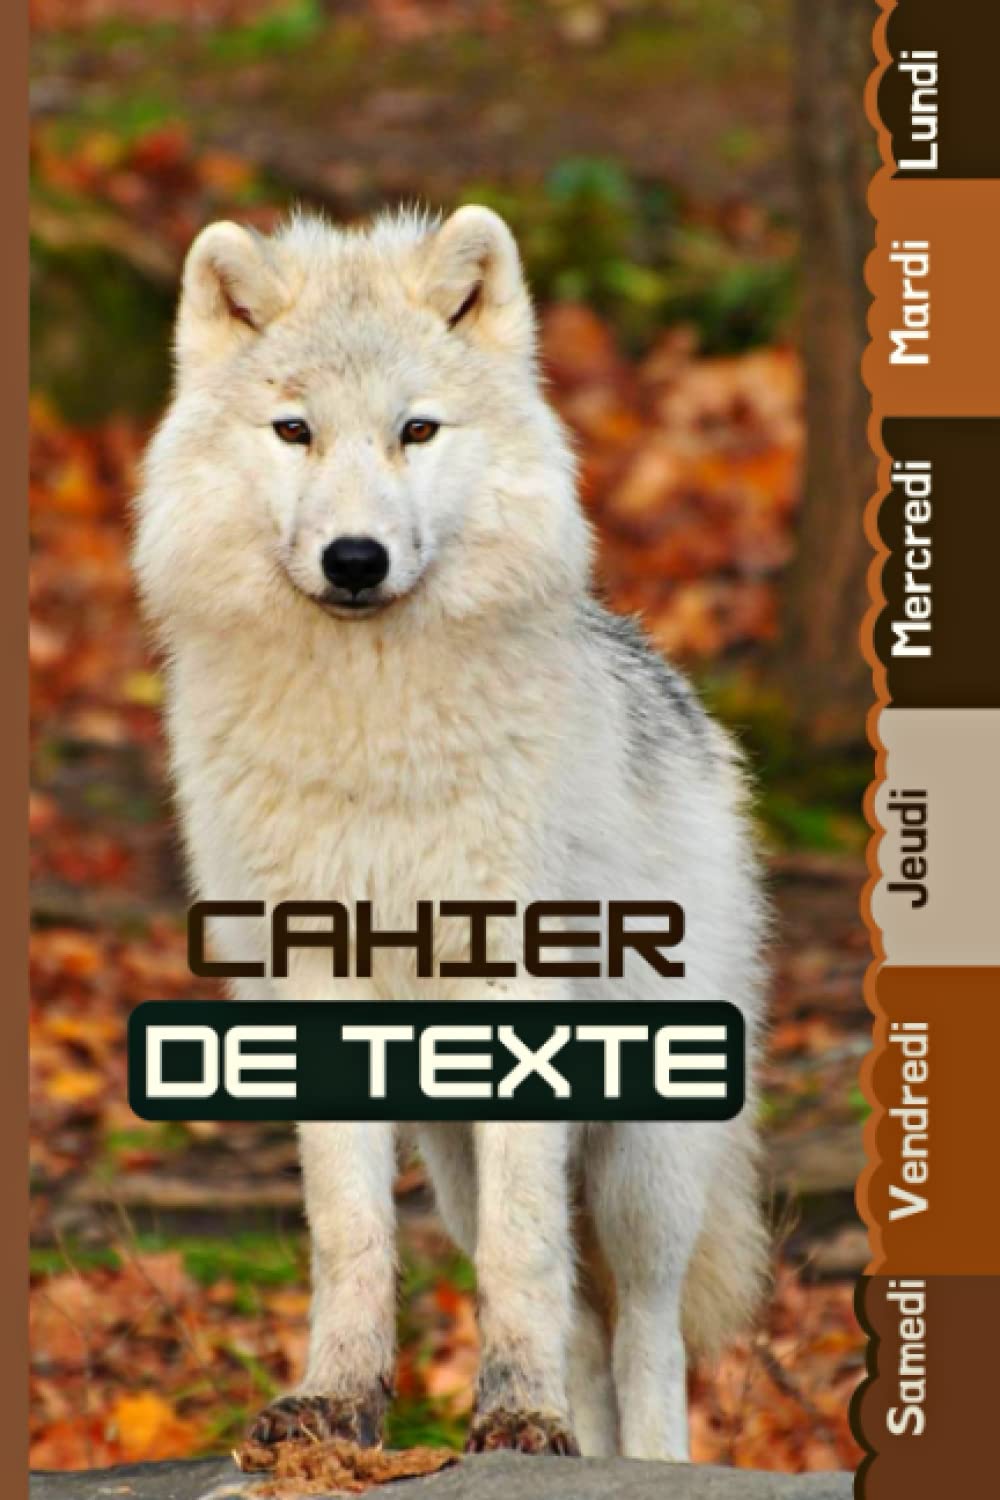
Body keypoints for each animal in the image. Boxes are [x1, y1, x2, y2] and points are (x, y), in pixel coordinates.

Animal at [133, 204, 768, 1462]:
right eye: (294, 430)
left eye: (416, 430)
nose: (355, 560)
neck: (374, 736)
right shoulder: (317, 992)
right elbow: (351, 1233)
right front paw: (335, 1405)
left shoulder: (517, 985)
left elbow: (529, 1257)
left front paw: (515, 1413)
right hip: (450, 1147)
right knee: (583, 1322)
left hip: (644, 1159)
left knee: (646, 1329)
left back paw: (638, 1457)